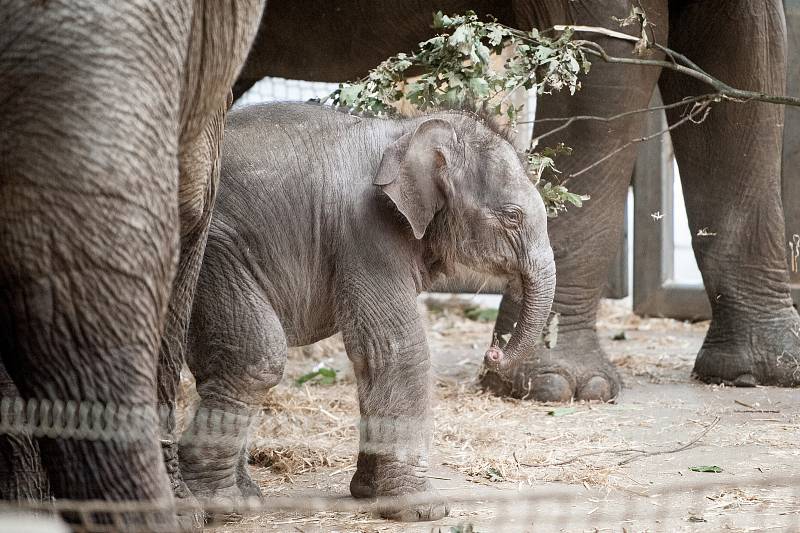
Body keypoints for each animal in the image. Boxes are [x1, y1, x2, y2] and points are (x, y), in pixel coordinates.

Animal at [181, 101, 556, 520]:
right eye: (513, 216)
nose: (493, 352)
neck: (404, 131)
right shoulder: (367, 230)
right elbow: (397, 349)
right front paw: (423, 510)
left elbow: (369, 357)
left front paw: (368, 494)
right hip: (214, 252)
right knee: (253, 359)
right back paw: (224, 505)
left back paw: (243, 496)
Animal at [234, 0, 800, 402]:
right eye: (509, 217)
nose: (492, 353)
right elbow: (605, 61)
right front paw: (560, 387)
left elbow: (748, 55)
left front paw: (768, 370)